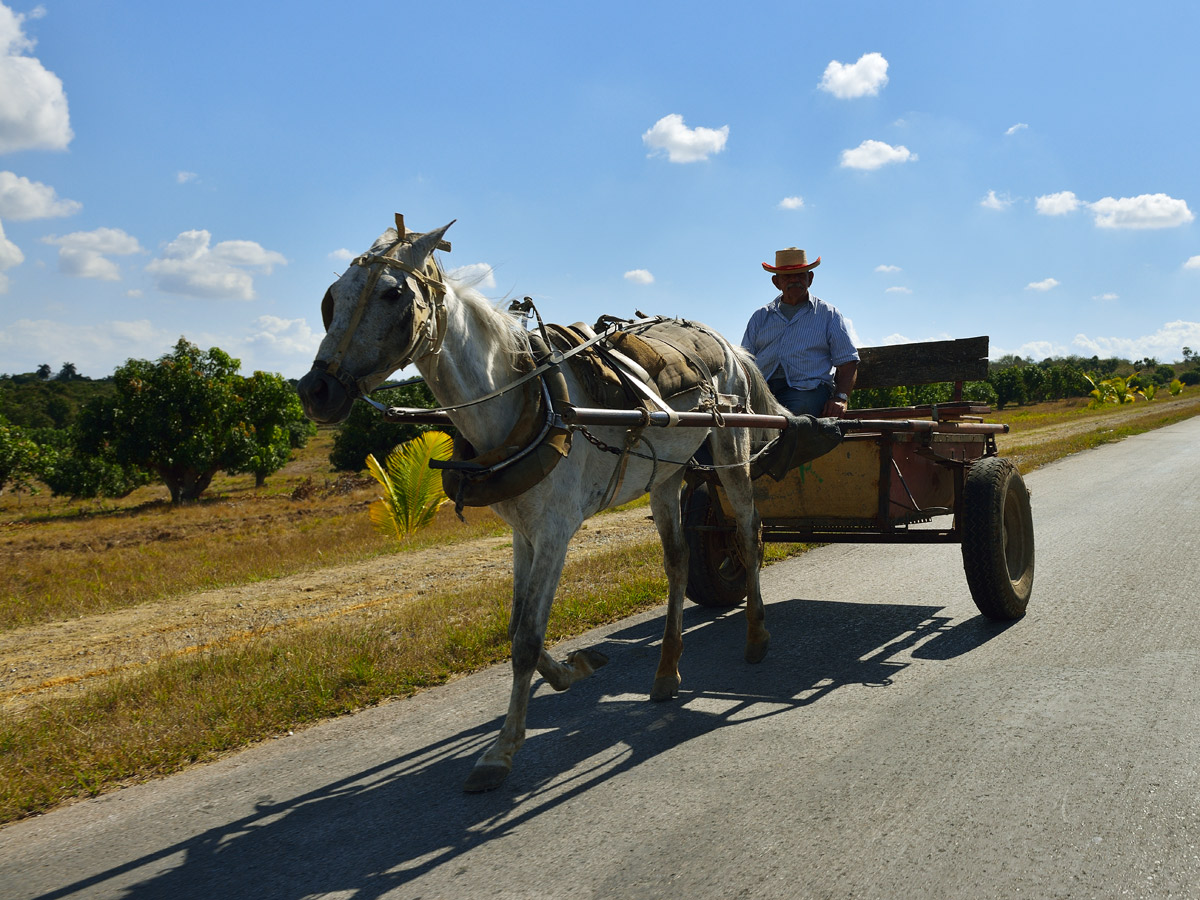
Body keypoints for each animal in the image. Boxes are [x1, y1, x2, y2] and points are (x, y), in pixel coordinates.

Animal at [297, 222, 787, 792]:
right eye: (333, 298)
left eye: (392, 294)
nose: (316, 390)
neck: (526, 401)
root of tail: (722, 339)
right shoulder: (522, 532)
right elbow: (515, 628)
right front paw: (574, 669)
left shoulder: (555, 532)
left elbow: (527, 639)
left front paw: (502, 750)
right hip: (665, 475)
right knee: (678, 562)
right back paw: (667, 671)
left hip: (731, 450)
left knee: (749, 532)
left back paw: (757, 634)